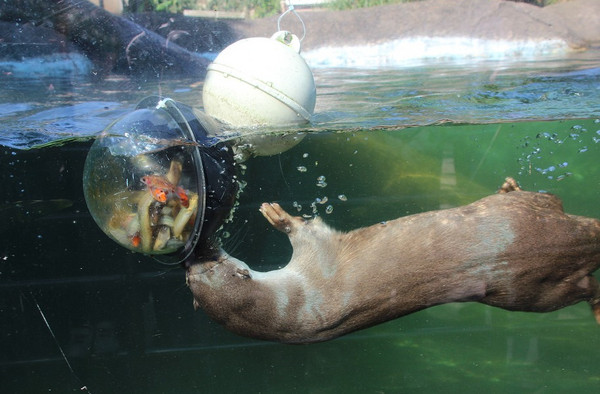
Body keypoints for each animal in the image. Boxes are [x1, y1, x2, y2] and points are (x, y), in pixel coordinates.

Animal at [185, 177, 600, 344]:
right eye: (193, 277)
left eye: (210, 260)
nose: (191, 258)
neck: (298, 307)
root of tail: (570, 236)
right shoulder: (314, 261)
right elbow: (308, 231)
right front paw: (277, 214)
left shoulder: (314, 258)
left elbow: (305, 230)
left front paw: (275, 213)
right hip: (528, 284)